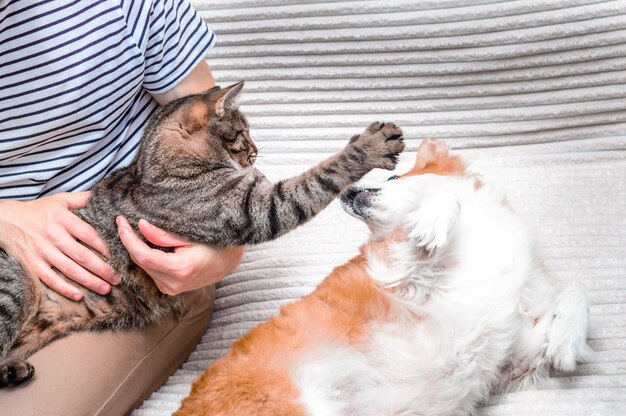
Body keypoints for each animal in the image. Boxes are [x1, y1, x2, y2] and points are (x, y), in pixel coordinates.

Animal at [0, 81, 404, 386]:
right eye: (243, 133)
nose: (256, 151)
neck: (160, 170)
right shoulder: (258, 209)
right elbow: (317, 178)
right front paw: (369, 146)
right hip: (16, 285)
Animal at [176, 141, 588, 416]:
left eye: (393, 175)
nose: (346, 187)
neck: (476, 243)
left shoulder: (518, 351)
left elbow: (575, 296)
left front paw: (566, 342)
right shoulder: (396, 270)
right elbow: (446, 204)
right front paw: (433, 220)